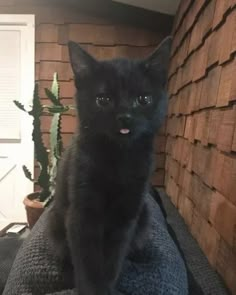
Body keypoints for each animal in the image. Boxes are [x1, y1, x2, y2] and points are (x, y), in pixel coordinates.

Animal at [48, 37, 171, 295]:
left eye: (143, 99)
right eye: (103, 100)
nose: (125, 116)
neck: (118, 157)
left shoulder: (126, 215)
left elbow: (113, 258)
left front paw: (108, 285)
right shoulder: (81, 213)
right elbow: (87, 262)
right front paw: (91, 287)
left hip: (143, 214)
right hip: (55, 221)